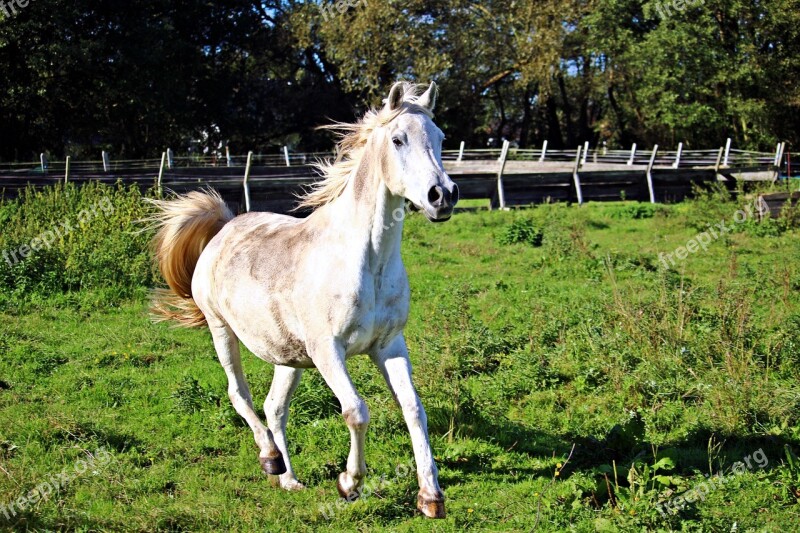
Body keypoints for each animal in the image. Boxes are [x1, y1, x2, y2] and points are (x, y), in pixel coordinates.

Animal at [150, 81, 460, 516]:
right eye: (398, 139)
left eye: (441, 137)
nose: (442, 196)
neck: (367, 261)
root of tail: (225, 226)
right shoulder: (328, 350)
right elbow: (356, 411)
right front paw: (349, 483)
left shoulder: (389, 346)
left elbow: (414, 409)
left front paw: (431, 497)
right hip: (221, 330)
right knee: (240, 395)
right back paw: (270, 459)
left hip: (287, 356)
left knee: (273, 407)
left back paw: (289, 479)